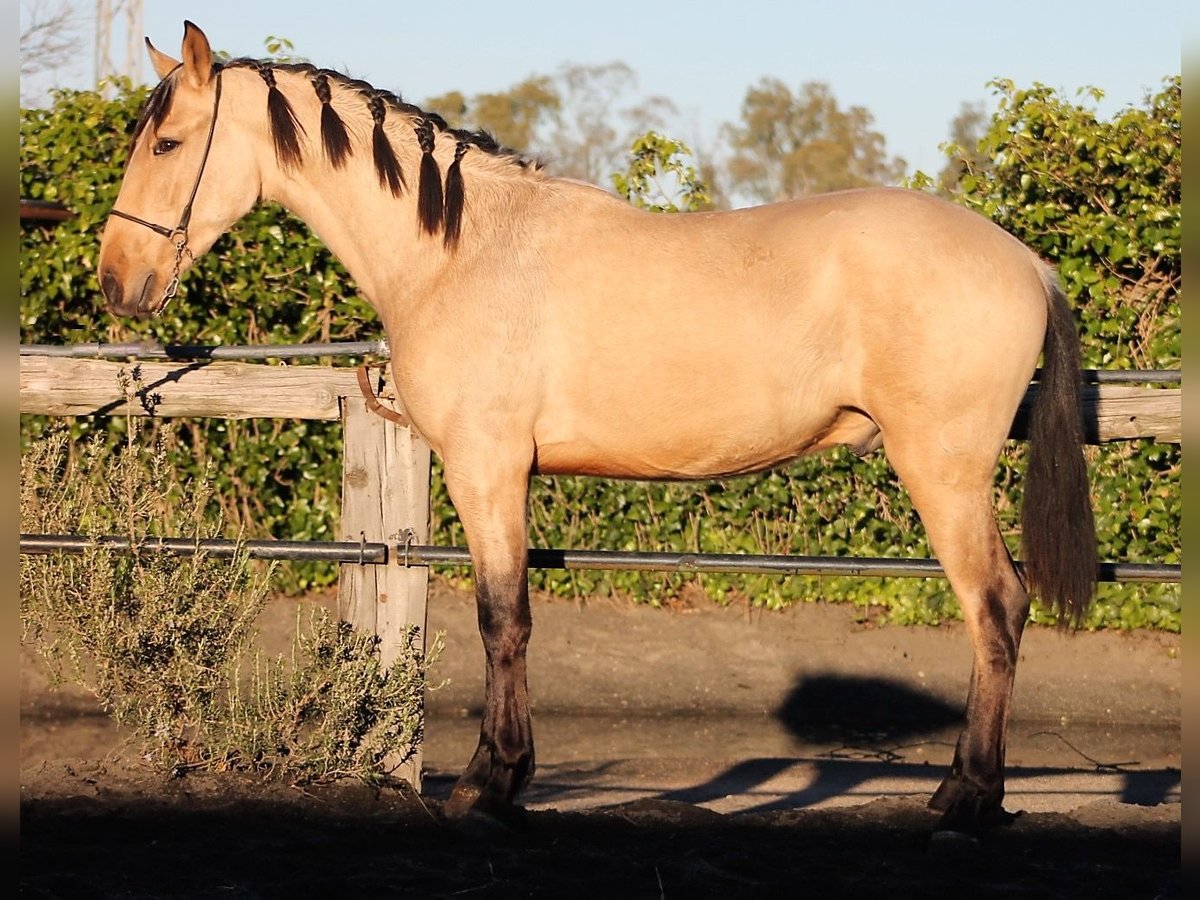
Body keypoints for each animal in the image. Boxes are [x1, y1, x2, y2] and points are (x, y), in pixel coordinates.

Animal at [100, 21, 1099, 840]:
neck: (462, 251)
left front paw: (490, 785)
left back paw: (966, 799)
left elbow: (502, 619)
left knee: (996, 608)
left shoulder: (487, 468)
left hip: (944, 473)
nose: (116, 282)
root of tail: (1025, 261)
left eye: (168, 142)